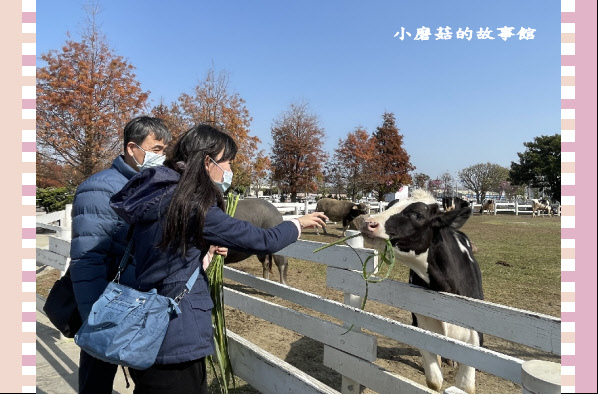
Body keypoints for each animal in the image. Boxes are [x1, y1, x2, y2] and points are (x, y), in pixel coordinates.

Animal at [358, 189, 486, 392]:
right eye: (389, 205)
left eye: (418, 215)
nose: (366, 222)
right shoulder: (421, 329)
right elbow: (434, 381)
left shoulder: (474, 337)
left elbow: (466, 386)